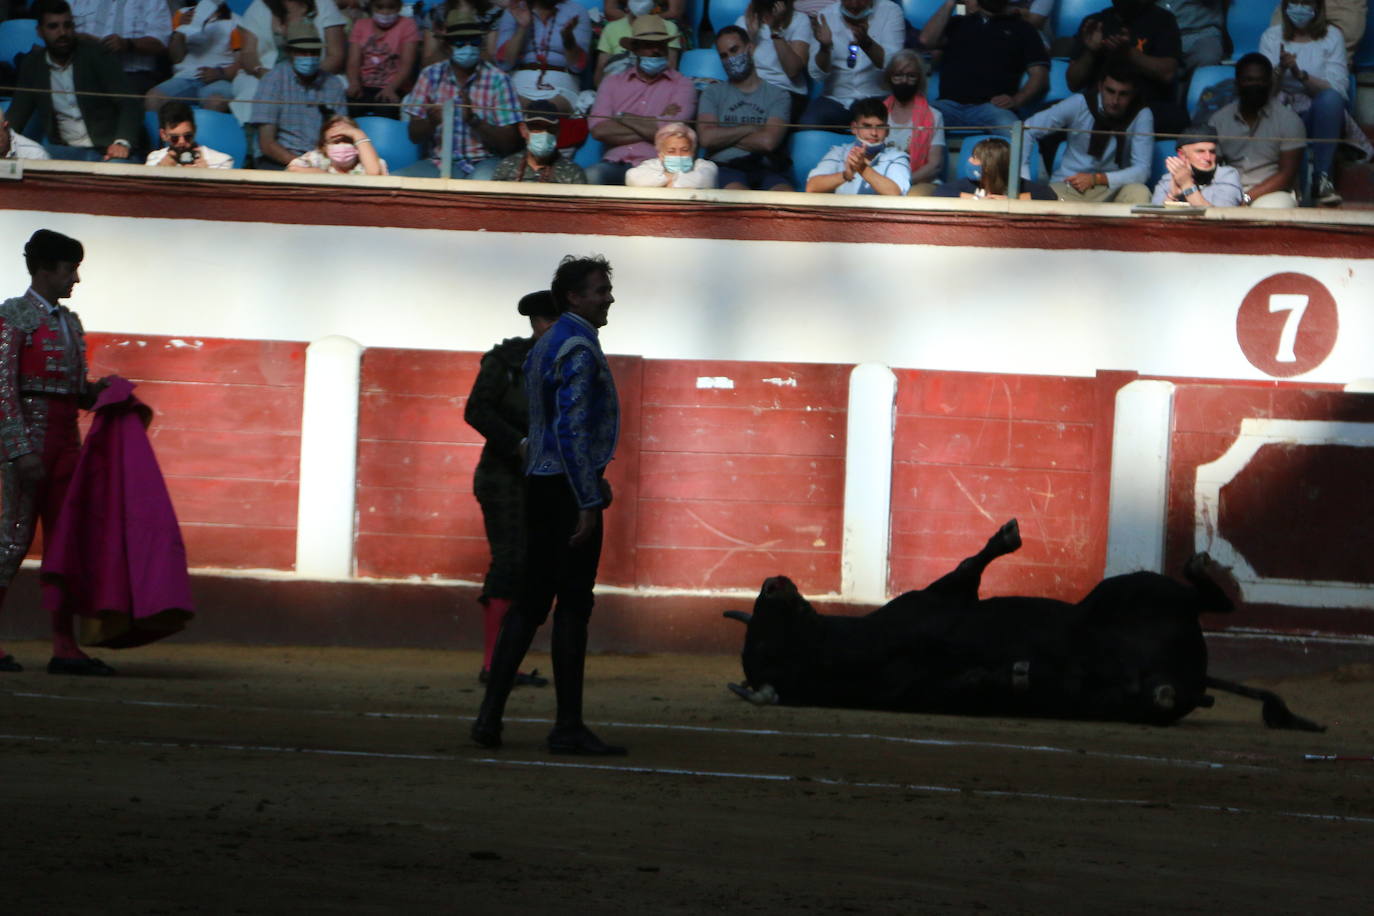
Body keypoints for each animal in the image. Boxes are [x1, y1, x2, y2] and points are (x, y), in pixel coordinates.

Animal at [725, 521, 1324, 730]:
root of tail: (1191, 677)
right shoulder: (936, 607)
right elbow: (969, 568)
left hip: (1140, 598)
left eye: (764, 625)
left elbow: (973, 564)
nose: (772, 581)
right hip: (1130, 612)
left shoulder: (940, 601)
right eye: (767, 640)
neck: (851, 653)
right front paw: (1011, 676)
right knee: (1200, 609)